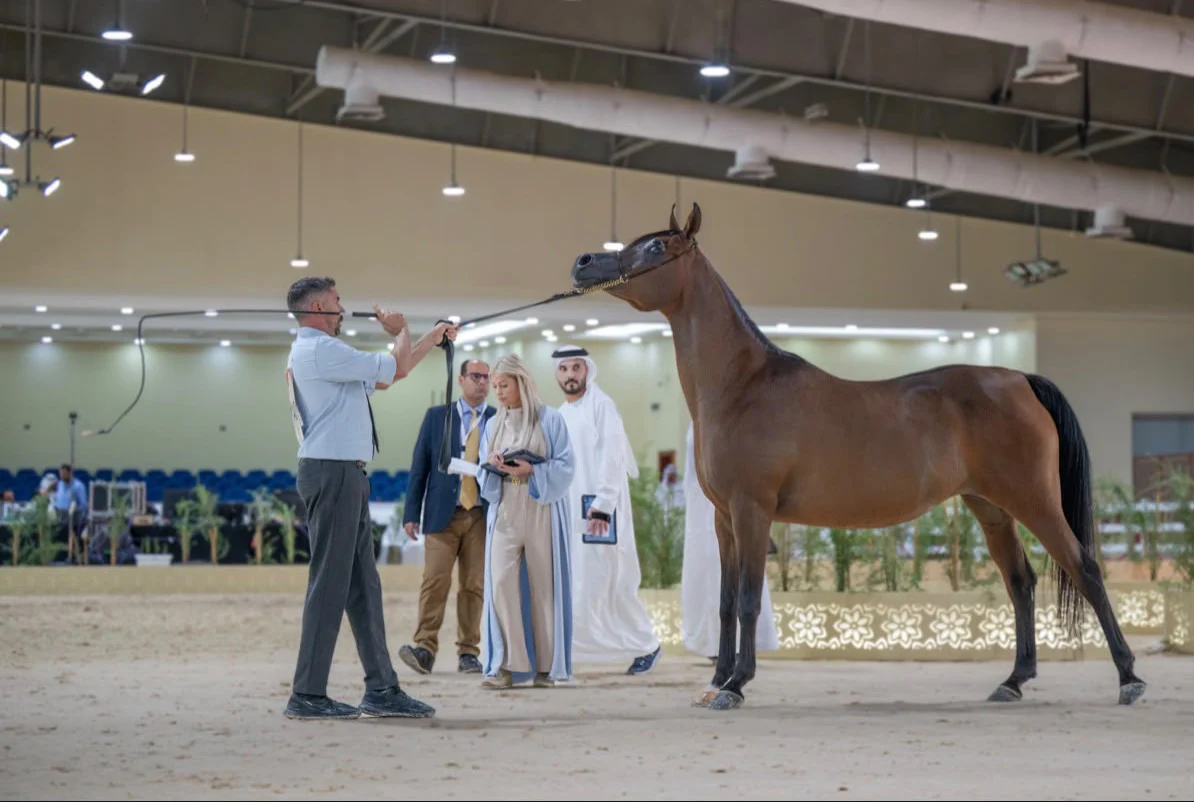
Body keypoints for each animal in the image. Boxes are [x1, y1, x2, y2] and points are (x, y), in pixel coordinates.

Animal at [569, 203, 1145, 712]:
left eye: (656, 246)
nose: (583, 262)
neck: (744, 386)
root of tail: (1020, 379)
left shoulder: (753, 511)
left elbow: (750, 598)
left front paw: (736, 684)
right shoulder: (724, 518)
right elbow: (727, 601)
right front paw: (715, 683)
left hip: (1034, 499)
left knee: (1085, 568)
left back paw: (1129, 679)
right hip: (991, 508)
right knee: (1020, 582)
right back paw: (1013, 681)